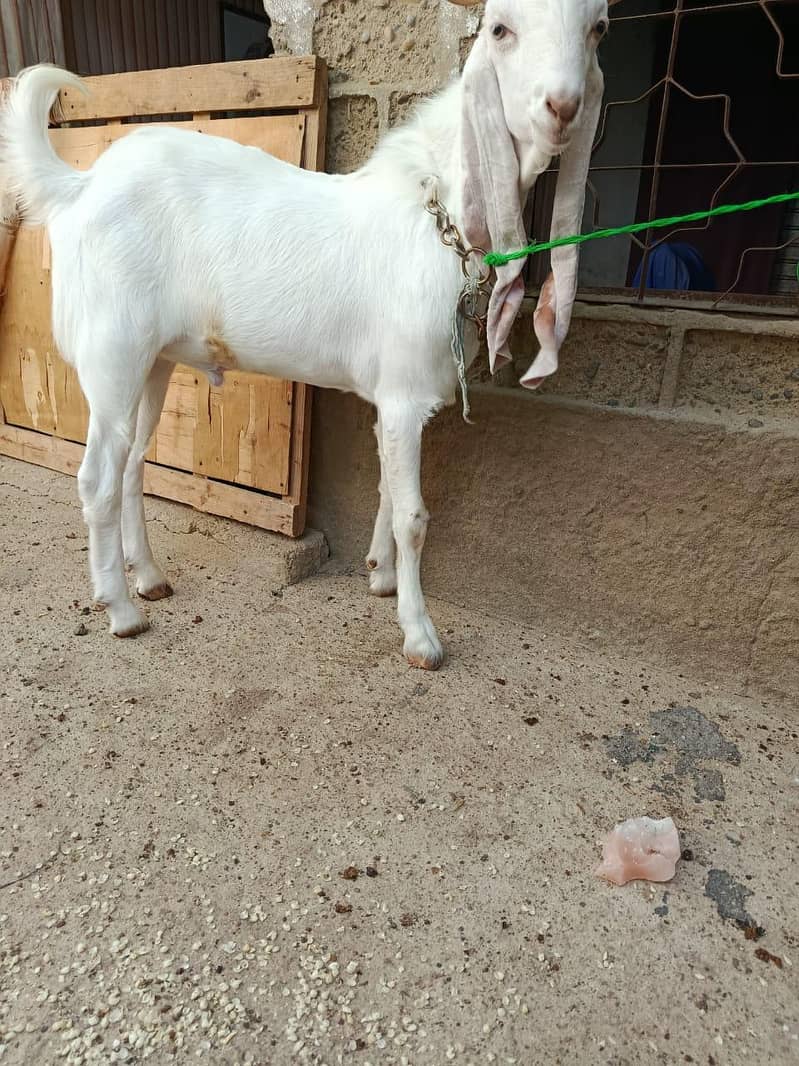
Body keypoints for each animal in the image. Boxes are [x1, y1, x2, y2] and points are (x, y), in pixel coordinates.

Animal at [0, 0, 610, 670]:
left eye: (598, 27)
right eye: (500, 29)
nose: (562, 106)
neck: (436, 215)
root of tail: (80, 188)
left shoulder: (393, 399)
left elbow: (387, 487)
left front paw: (380, 576)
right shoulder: (405, 393)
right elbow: (414, 515)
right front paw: (420, 635)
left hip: (152, 360)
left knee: (133, 462)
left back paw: (150, 579)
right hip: (111, 351)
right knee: (97, 479)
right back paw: (120, 608)